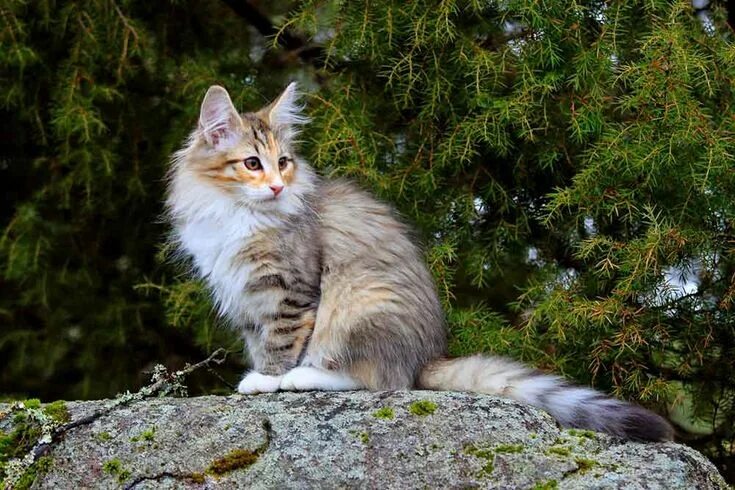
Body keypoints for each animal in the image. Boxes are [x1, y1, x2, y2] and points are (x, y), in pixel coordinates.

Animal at [165, 82, 672, 442]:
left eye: (283, 162)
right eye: (252, 163)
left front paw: (266, 381)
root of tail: (427, 355)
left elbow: (280, 344)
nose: (276, 186)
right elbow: (258, 340)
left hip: (359, 305)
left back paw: (303, 377)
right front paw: (256, 375)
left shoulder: (291, 288)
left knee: (380, 380)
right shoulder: (243, 294)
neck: (236, 214)